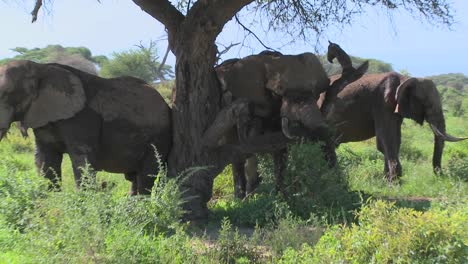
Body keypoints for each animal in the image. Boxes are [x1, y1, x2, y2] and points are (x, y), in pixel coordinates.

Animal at [0, 60, 172, 195]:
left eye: (6, 94)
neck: (39, 67)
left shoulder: (82, 118)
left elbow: (82, 157)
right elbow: (45, 158)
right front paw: (50, 200)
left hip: (158, 138)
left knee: (146, 176)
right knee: (135, 178)